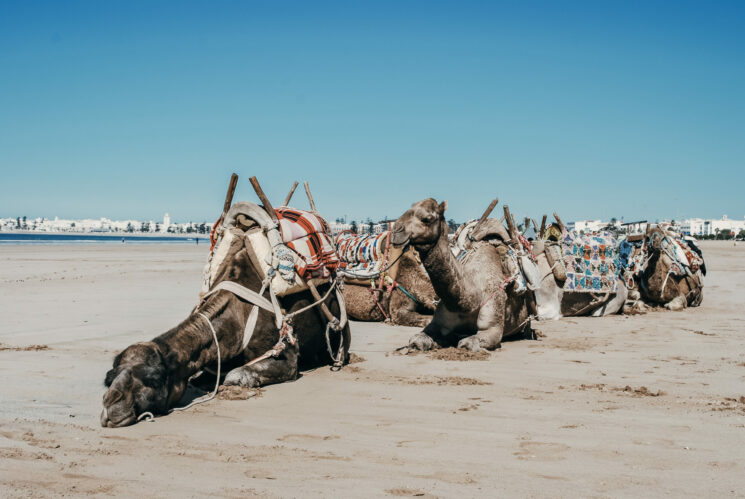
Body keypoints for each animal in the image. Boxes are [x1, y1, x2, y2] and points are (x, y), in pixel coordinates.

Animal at [98, 180, 348, 426]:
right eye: (109, 377)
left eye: (154, 379)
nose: (111, 404)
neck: (236, 319)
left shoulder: (287, 357)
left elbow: (235, 374)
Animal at [390, 197, 528, 354]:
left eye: (427, 218)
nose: (396, 232)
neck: (471, 299)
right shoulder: (438, 321)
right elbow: (417, 340)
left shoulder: (492, 324)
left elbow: (467, 343)